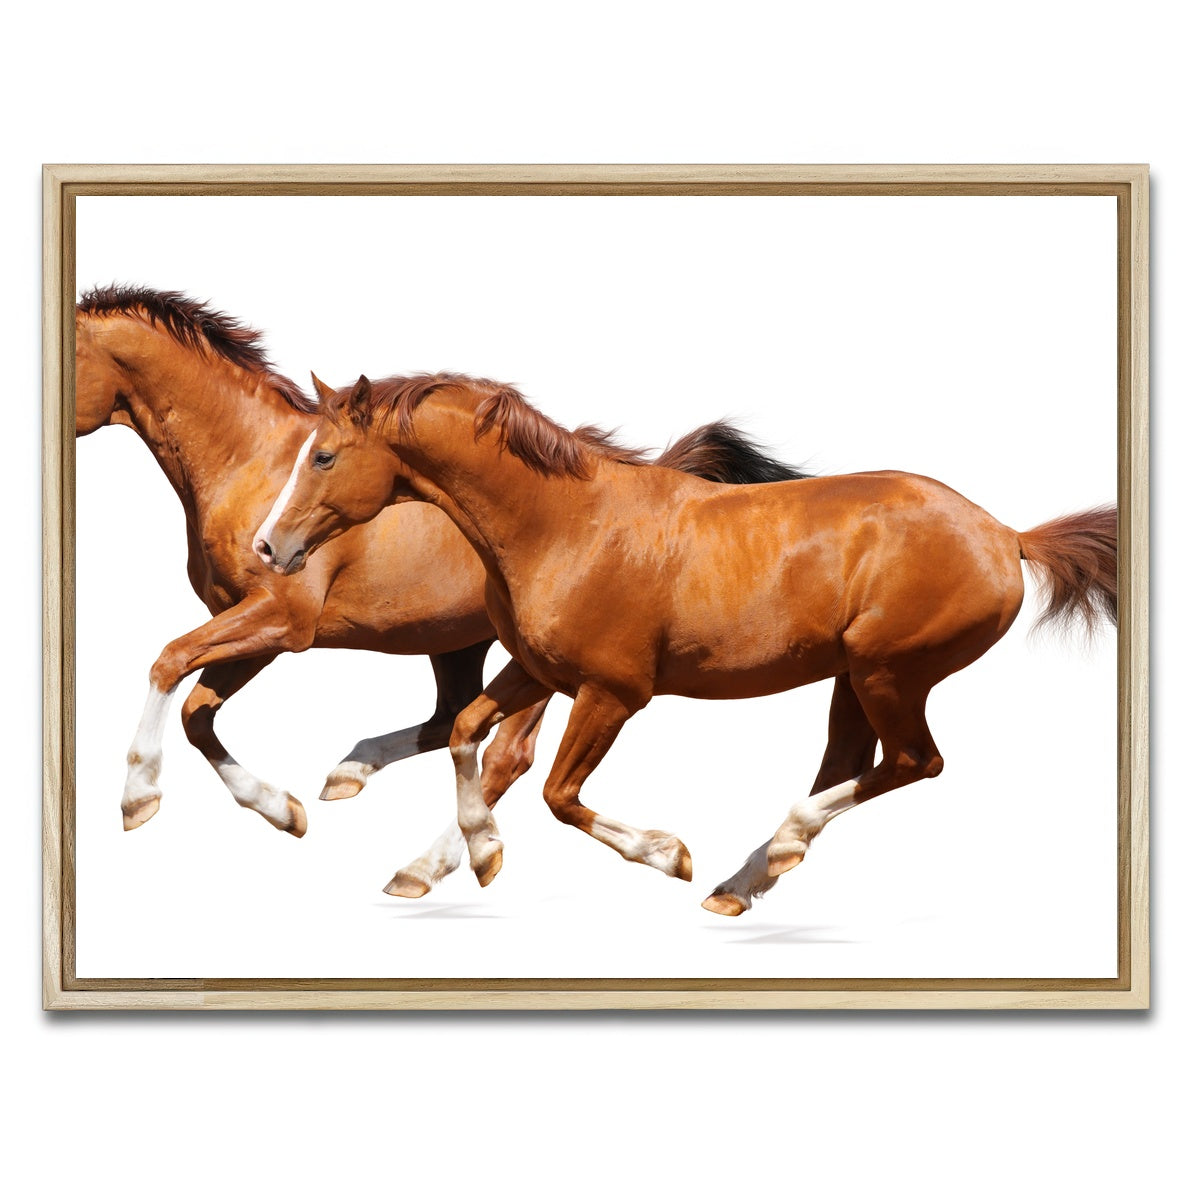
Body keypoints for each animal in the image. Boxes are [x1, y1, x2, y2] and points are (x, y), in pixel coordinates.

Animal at [76, 287, 803, 896]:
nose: (270, 548)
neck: (251, 462)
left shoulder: (282, 620)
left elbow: (170, 662)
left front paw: (138, 797)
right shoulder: (256, 627)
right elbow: (198, 712)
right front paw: (285, 811)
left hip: (541, 668)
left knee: (505, 755)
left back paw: (432, 862)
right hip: (460, 646)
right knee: (450, 721)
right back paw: (361, 783)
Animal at [254, 371, 1118, 915]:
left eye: (323, 455)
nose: (269, 547)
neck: (562, 526)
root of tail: (1006, 535)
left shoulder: (613, 693)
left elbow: (558, 794)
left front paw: (667, 854)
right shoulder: (538, 672)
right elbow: (469, 733)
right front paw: (480, 853)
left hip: (890, 673)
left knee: (914, 763)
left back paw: (774, 849)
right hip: (856, 676)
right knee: (853, 761)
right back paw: (745, 880)